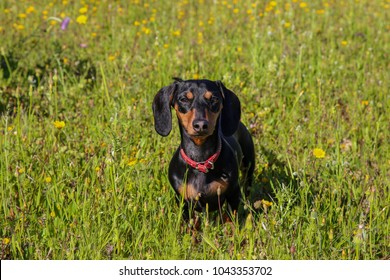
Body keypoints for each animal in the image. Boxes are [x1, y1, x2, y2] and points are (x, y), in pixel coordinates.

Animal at [152, 77, 256, 220]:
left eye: (214, 99)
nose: (201, 125)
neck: (201, 161)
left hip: (248, 165)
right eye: (183, 99)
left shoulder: (233, 195)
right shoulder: (183, 203)